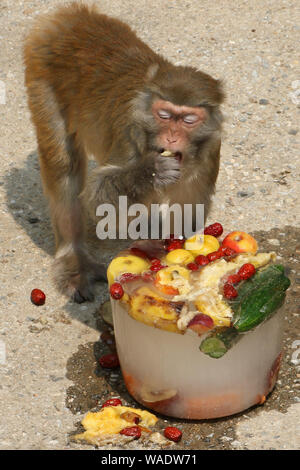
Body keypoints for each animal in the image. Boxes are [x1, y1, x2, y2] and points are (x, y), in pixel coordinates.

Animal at [23, 2, 224, 304]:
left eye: (189, 120)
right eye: (164, 115)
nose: (172, 137)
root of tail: (71, 14)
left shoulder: (211, 151)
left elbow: (187, 211)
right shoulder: (129, 135)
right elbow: (99, 201)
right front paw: (150, 172)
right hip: (41, 76)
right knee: (63, 166)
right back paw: (74, 260)